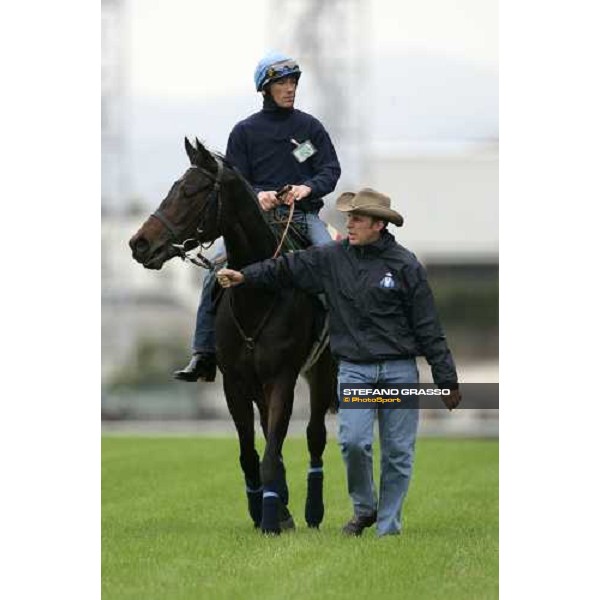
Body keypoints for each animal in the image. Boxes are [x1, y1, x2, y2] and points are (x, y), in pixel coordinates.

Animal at [129, 139, 338, 536]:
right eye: (174, 187)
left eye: (191, 191)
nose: (140, 243)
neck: (259, 290)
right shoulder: (236, 385)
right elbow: (251, 453)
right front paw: (266, 511)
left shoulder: (282, 379)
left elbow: (273, 451)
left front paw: (273, 519)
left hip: (321, 372)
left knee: (315, 435)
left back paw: (313, 511)